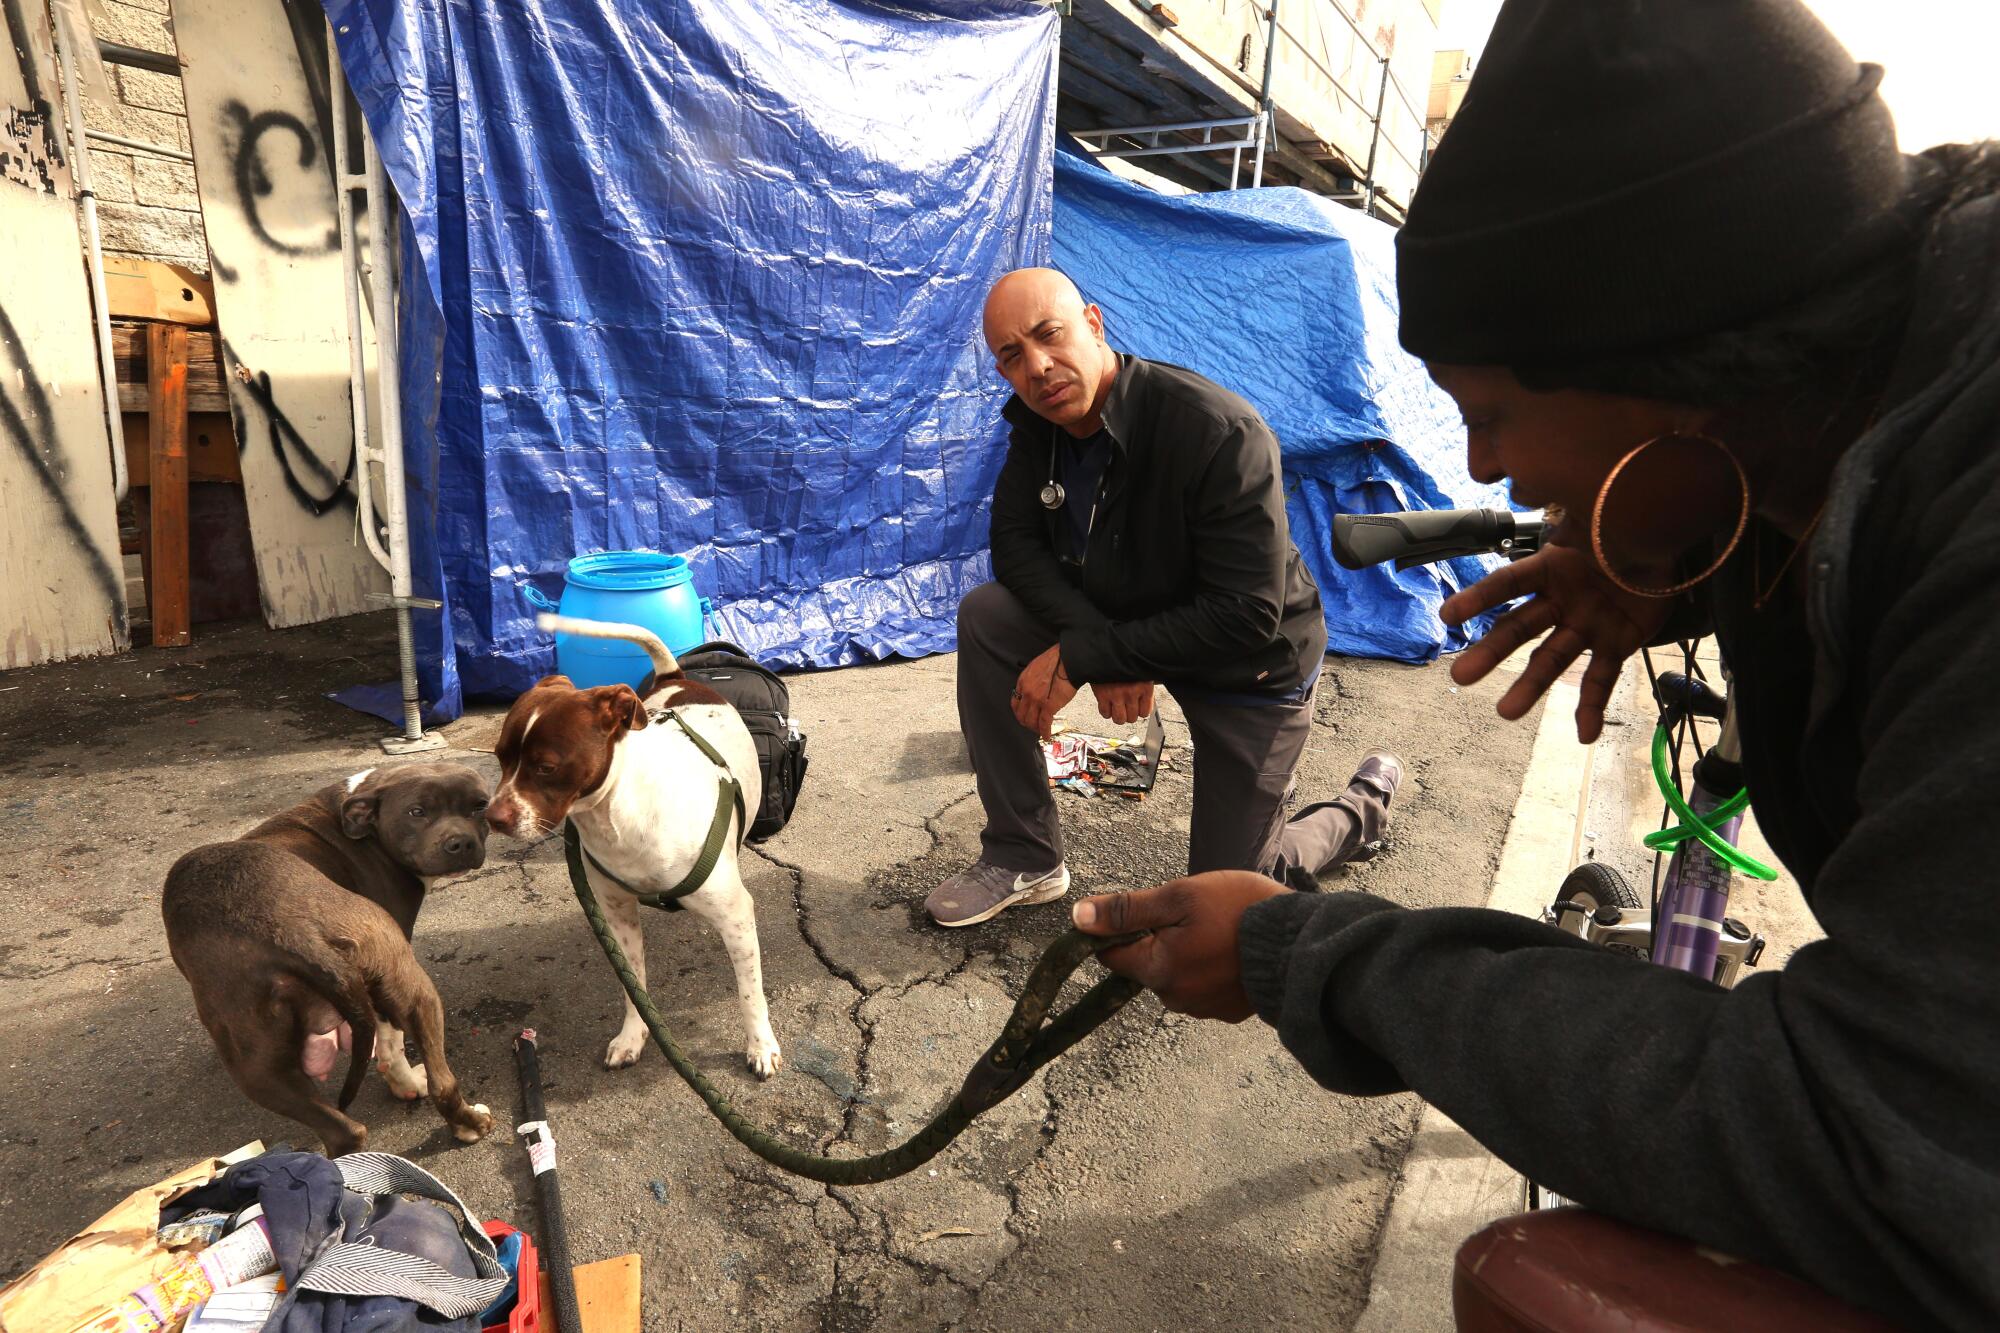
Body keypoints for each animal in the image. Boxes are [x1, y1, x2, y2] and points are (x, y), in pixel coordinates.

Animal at [484, 616, 780, 1072]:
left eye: (546, 767)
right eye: (500, 757)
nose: (492, 818)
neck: (618, 815)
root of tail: (676, 678)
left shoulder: (735, 918)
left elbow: (750, 993)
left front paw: (760, 1045)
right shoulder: (616, 916)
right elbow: (634, 987)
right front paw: (633, 1036)